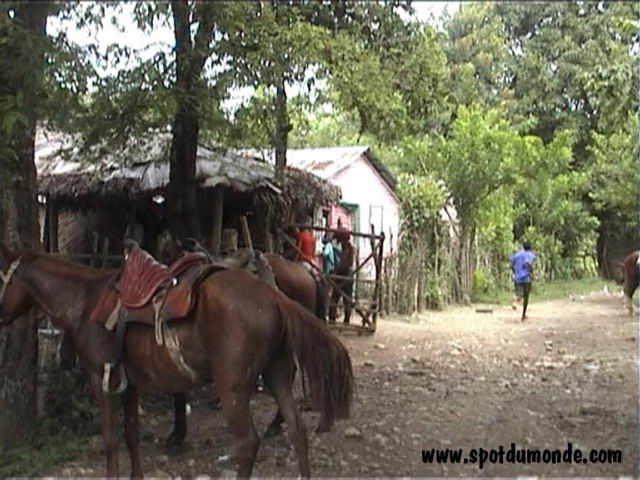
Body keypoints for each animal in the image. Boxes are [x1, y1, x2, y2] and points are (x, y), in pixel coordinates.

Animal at [0, 246, 352, 478]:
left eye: (1, 279)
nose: (1, 316)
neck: (85, 301)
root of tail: (275, 297)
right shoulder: (129, 383)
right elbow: (131, 433)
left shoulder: (100, 379)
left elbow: (111, 439)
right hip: (275, 373)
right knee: (297, 429)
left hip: (233, 387)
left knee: (247, 443)